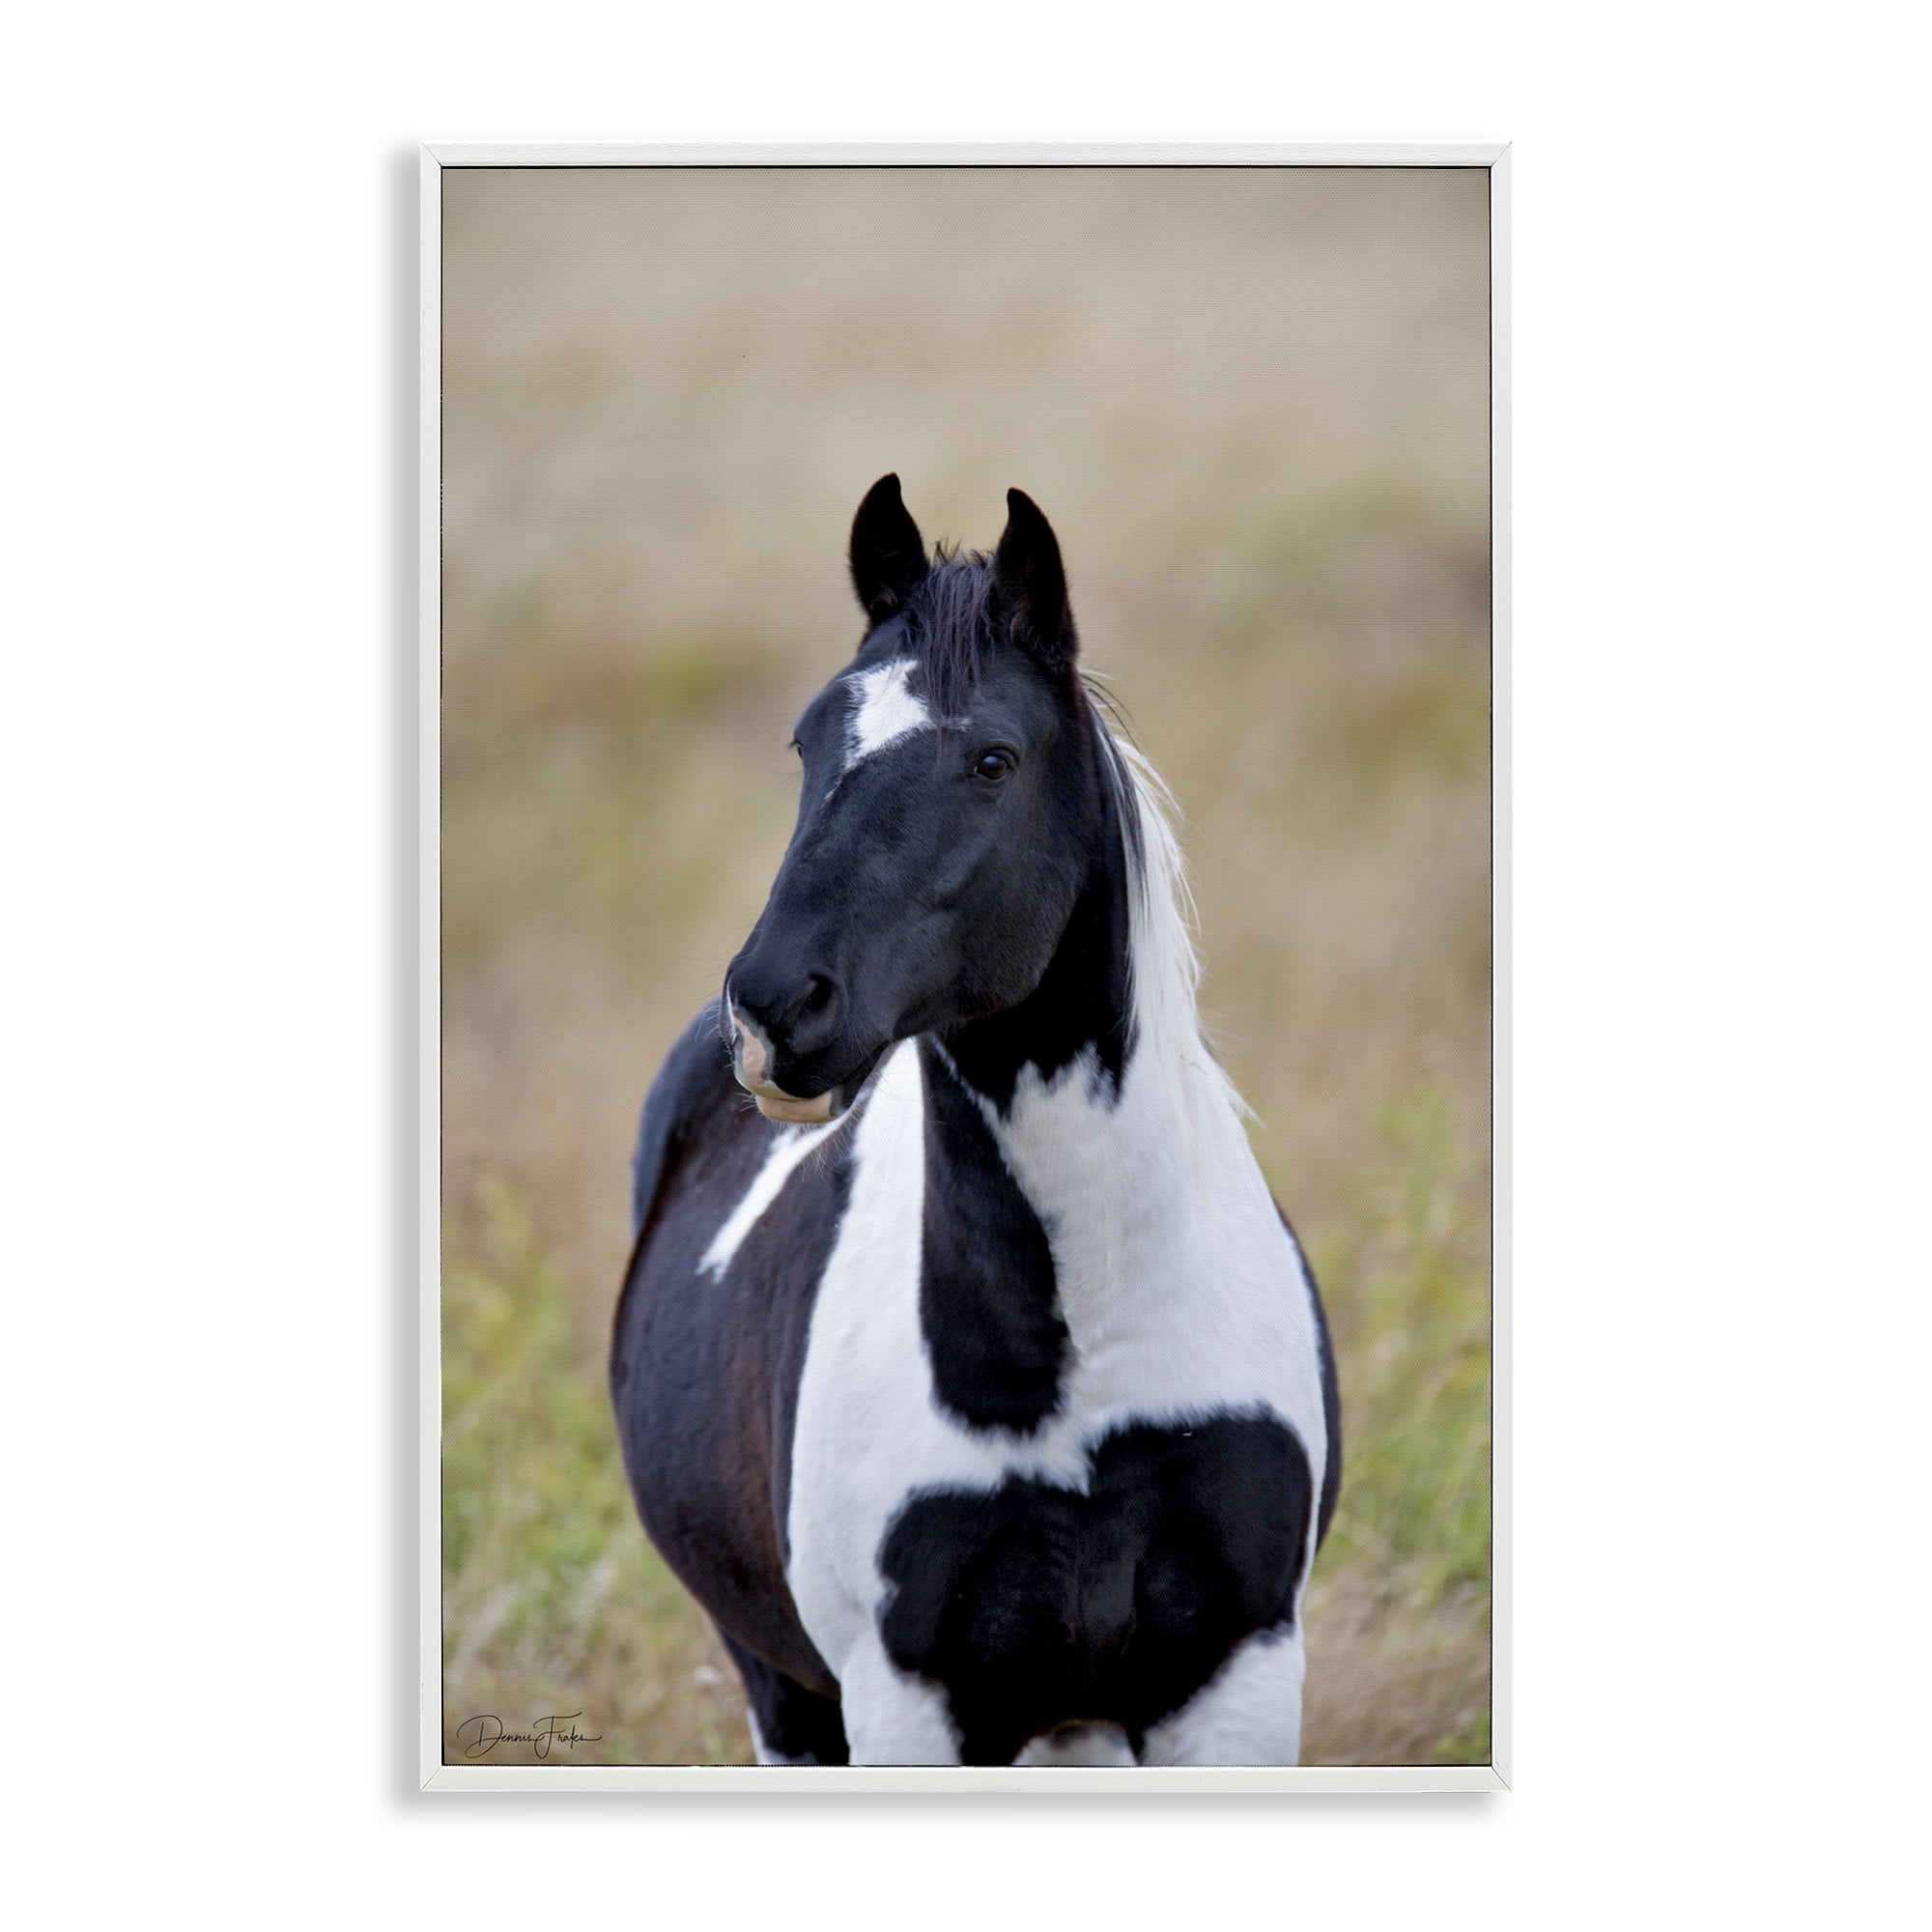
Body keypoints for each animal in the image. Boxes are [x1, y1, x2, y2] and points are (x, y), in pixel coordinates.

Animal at [610, 476, 1341, 1767]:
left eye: (993, 758)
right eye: (808, 742)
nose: (770, 1007)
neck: (1078, 1366)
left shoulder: (1236, 1679)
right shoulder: (909, 1701)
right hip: (786, 1693)